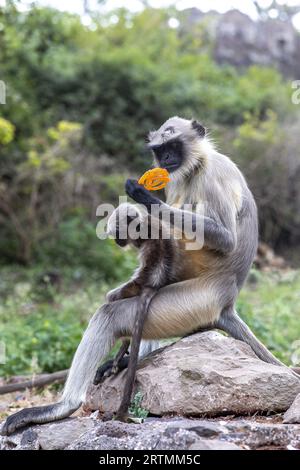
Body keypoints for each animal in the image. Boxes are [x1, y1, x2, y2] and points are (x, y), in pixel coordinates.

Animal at [2, 116, 298, 434]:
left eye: (174, 146)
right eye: (160, 150)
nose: (166, 160)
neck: (198, 165)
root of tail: (227, 303)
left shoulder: (213, 176)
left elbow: (224, 238)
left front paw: (143, 197)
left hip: (194, 302)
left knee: (111, 313)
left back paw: (64, 406)